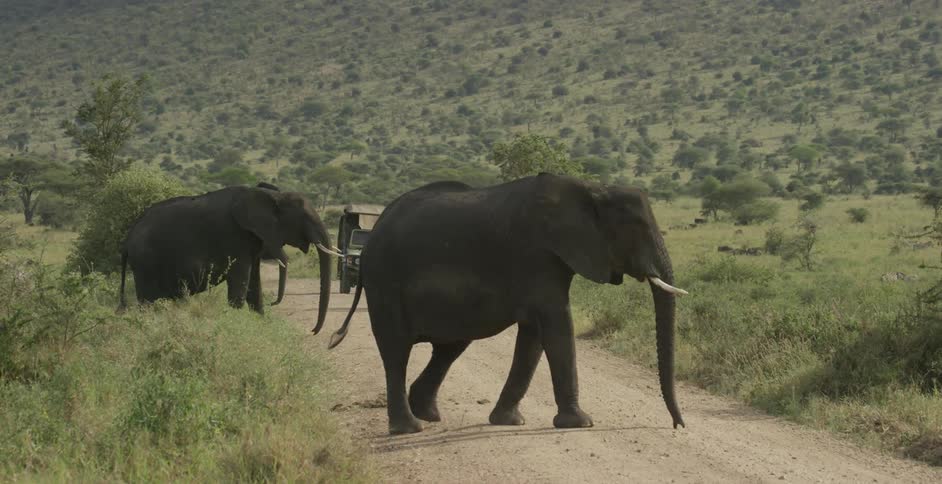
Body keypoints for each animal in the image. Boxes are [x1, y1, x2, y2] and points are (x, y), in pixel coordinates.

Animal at [119, 184, 339, 332]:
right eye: (304, 218)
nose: (313, 331)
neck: (273, 195)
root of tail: (127, 240)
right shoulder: (235, 238)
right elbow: (240, 285)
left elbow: (254, 286)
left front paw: (261, 324)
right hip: (146, 263)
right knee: (147, 302)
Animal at [326, 173, 688, 435]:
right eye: (636, 228)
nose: (677, 425)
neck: (592, 189)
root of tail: (370, 239)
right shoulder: (536, 256)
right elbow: (556, 324)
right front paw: (580, 423)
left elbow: (533, 336)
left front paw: (509, 421)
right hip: (385, 282)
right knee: (397, 351)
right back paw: (408, 428)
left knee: (448, 348)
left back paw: (428, 415)